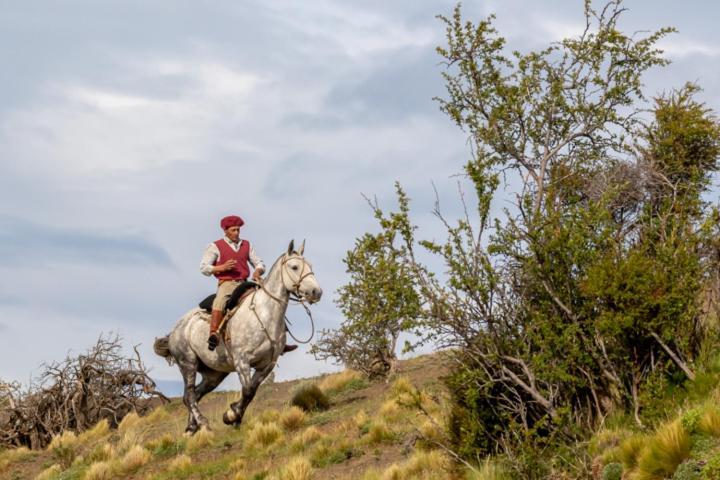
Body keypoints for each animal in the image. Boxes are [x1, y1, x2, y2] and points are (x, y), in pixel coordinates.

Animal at [156, 242, 322, 434]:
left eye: (310, 265)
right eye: (294, 266)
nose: (316, 292)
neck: (264, 314)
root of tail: (175, 330)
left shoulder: (267, 364)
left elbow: (251, 391)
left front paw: (235, 416)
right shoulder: (242, 360)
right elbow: (248, 390)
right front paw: (231, 415)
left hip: (214, 374)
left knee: (195, 394)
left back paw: (191, 428)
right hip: (187, 364)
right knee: (189, 395)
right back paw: (203, 424)